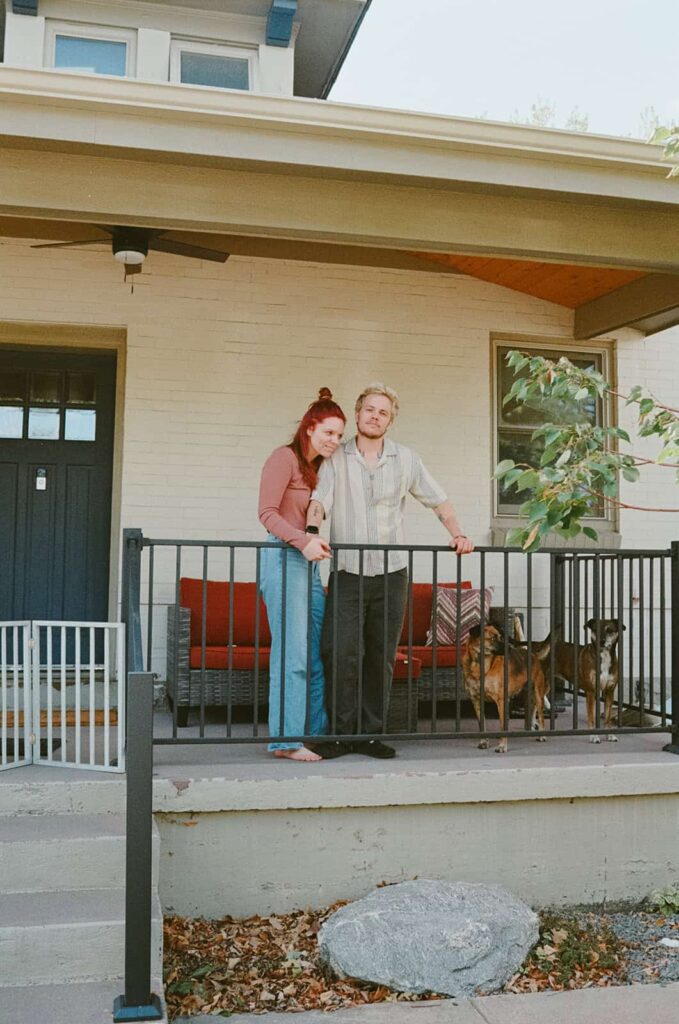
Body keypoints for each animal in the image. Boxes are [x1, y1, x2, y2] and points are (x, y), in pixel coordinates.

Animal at [462, 624, 552, 754]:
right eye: (493, 638)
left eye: (501, 637)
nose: (509, 648)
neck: (480, 666)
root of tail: (533, 655)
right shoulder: (476, 701)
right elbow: (482, 725)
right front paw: (484, 742)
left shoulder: (501, 701)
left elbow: (502, 726)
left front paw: (502, 746)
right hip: (527, 695)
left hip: (538, 693)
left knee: (540, 715)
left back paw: (542, 734)